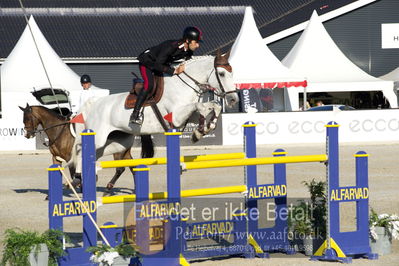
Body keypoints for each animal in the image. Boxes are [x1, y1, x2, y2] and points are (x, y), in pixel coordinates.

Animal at [71, 52, 238, 175]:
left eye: (232, 72)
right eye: (222, 74)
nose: (233, 99)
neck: (184, 86)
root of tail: (91, 106)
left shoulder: (187, 117)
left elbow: (214, 106)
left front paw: (202, 130)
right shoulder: (176, 116)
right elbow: (201, 106)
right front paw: (200, 132)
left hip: (117, 142)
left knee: (93, 154)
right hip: (98, 137)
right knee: (80, 151)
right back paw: (78, 178)